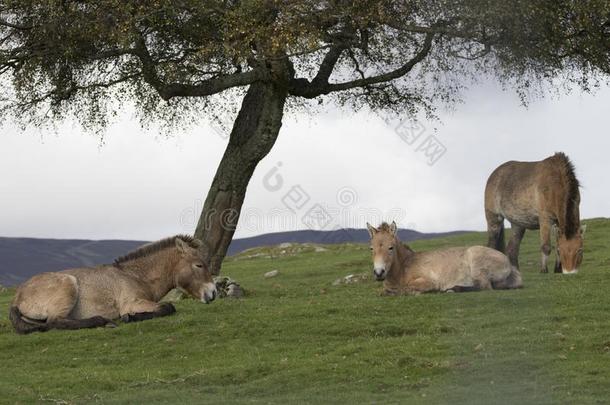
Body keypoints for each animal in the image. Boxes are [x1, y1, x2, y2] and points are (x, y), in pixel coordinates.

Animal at [8, 235, 216, 332]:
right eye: (199, 265)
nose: (213, 293)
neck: (135, 275)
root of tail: (18, 296)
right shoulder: (132, 303)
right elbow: (168, 307)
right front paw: (130, 317)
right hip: (69, 283)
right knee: (55, 321)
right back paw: (102, 321)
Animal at [364, 221, 520, 294]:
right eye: (371, 248)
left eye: (391, 248)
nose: (379, 273)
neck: (403, 268)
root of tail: (508, 263)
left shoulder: (428, 281)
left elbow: (406, 288)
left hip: (476, 262)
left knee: (484, 287)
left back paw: (453, 289)